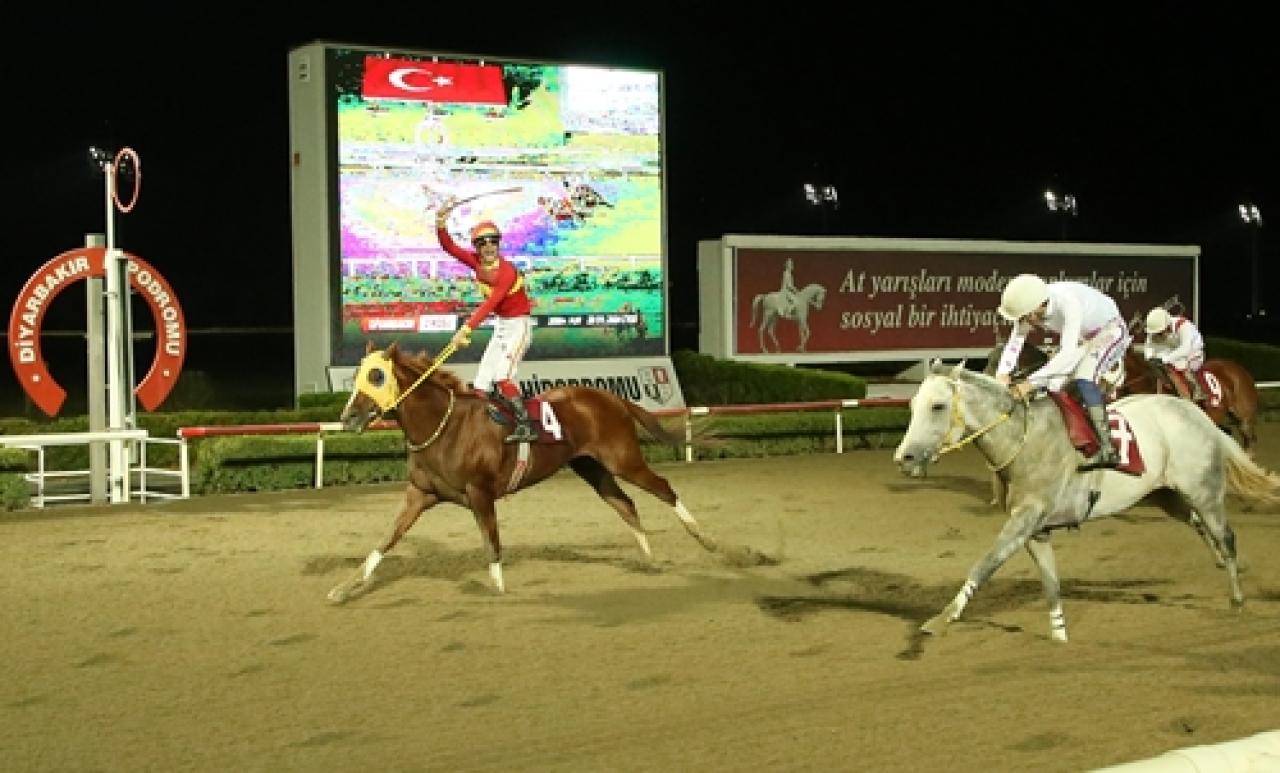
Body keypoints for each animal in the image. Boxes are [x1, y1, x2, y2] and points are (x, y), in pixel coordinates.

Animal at [327, 342, 721, 604]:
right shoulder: (420, 494)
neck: (446, 426)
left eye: (376, 375)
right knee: (625, 503)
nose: (348, 417)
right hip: (591, 467)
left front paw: (500, 590)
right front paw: (343, 588)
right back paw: (650, 560)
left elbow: (492, 542)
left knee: (663, 488)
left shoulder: (480, 493)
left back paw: (709, 542)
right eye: (357, 376)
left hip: (623, 460)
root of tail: (612, 398)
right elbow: (386, 540)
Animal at [890, 363, 1280, 639]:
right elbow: (1050, 583)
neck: (1024, 439)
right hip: (1167, 497)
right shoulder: (1035, 529)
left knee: (1226, 537)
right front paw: (1060, 637)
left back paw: (1237, 600)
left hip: (1204, 491)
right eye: (912, 405)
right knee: (1201, 526)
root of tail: (1201, 418)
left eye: (938, 405)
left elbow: (984, 565)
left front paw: (941, 620)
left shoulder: (1025, 519)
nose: (904, 458)